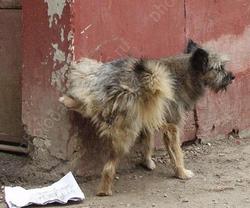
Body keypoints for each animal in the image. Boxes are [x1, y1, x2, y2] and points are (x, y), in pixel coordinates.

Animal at [59, 40, 234, 197]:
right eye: (219, 68)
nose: (232, 76)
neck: (188, 72)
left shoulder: (149, 118)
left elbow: (148, 143)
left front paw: (147, 162)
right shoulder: (172, 126)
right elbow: (177, 153)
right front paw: (181, 173)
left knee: (81, 102)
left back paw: (67, 100)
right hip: (126, 134)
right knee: (108, 168)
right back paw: (104, 191)